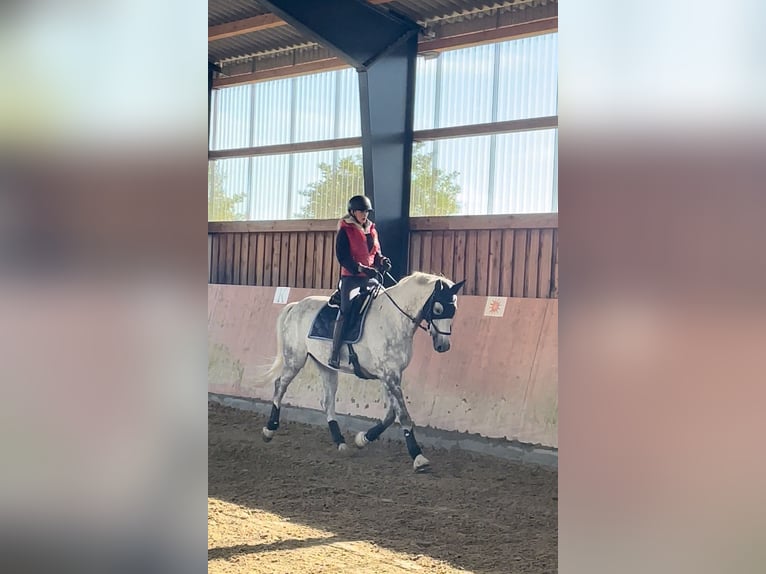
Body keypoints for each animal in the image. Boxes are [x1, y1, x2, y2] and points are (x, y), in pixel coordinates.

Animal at [260, 272, 468, 474]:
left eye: (454, 311)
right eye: (438, 309)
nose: (443, 346)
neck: (393, 319)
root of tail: (296, 306)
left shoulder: (390, 375)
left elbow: (391, 415)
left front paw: (363, 439)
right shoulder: (389, 375)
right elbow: (403, 415)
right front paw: (418, 457)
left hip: (325, 366)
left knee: (327, 401)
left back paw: (341, 443)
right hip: (295, 359)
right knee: (280, 385)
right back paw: (269, 430)